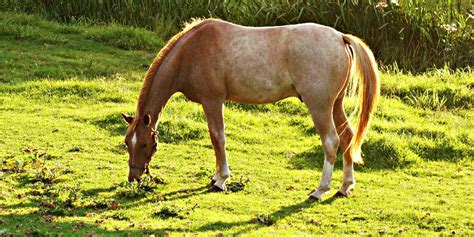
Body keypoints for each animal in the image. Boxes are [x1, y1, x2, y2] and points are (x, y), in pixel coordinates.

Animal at [120, 18, 380, 200]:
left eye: (144, 144)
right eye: (126, 143)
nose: (134, 177)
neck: (191, 51)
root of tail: (340, 37)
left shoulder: (212, 101)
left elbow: (218, 138)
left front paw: (221, 180)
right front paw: (216, 176)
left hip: (320, 107)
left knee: (331, 142)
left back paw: (320, 189)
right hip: (335, 105)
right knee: (347, 137)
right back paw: (345, 186)